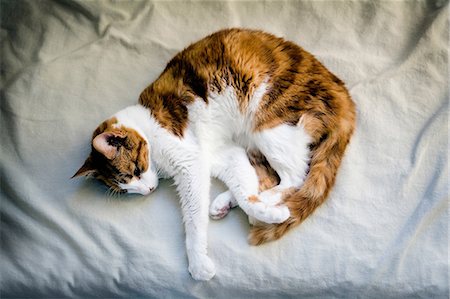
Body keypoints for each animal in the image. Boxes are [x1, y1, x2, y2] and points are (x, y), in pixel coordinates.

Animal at [73, 28, 356, 282]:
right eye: (125, 189)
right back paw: (229, 202)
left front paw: (198, 263)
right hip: (252, 142)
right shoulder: (223, 153)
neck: (146, 123)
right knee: (267, 177)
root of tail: (343, 92)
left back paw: (265, 205)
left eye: (135, 170)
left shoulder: (190, 163)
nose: (147, 191)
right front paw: (251, 203)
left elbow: (194, 219)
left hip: (268, 124)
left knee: (295, 177)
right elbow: (244, 187)